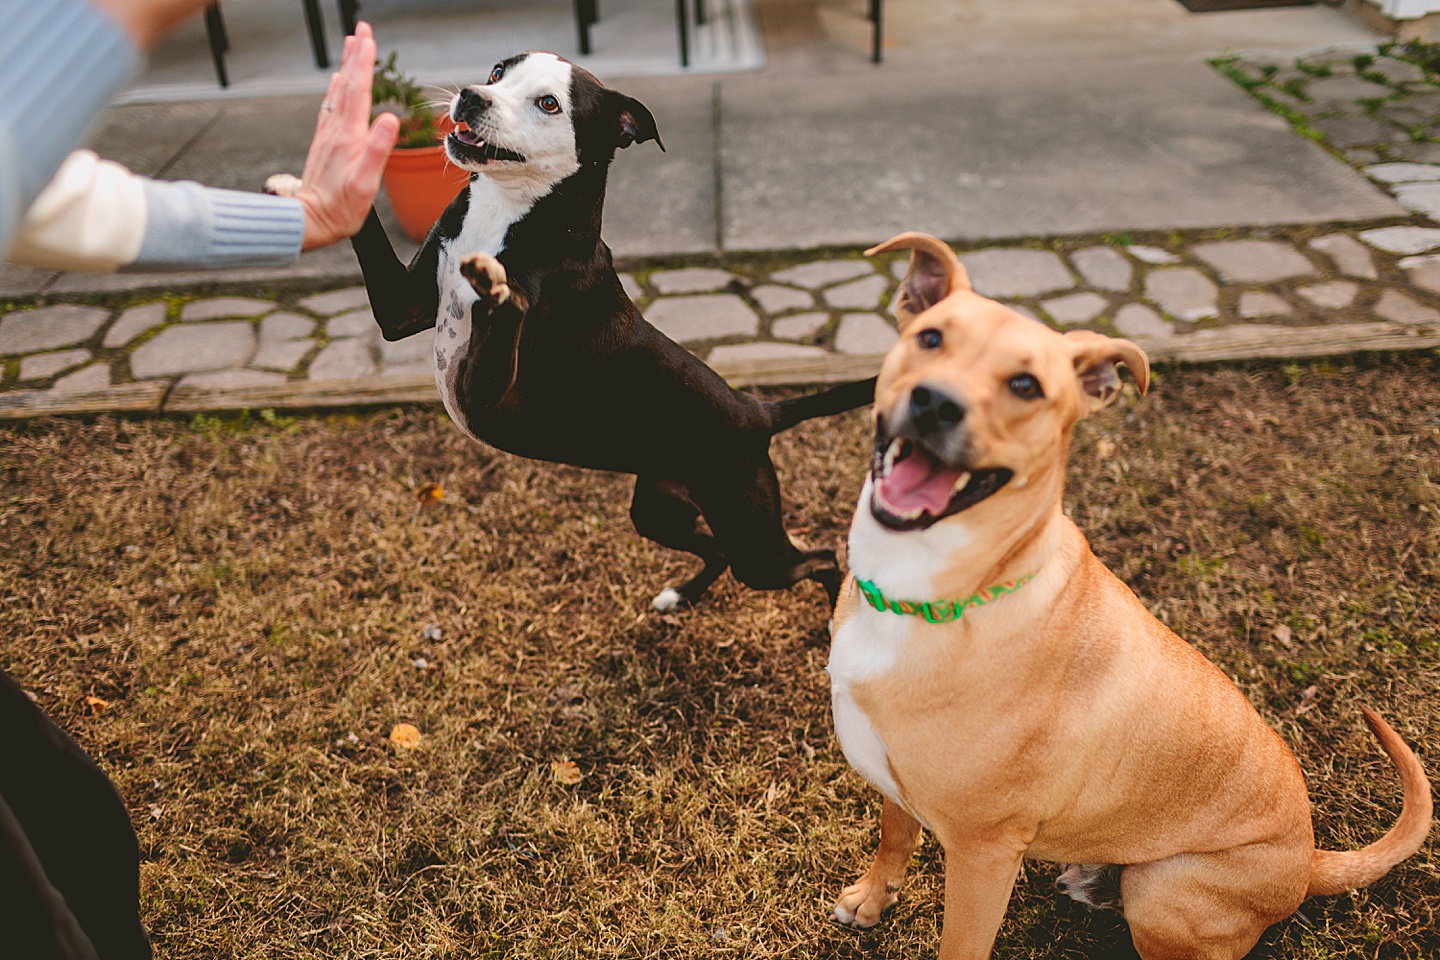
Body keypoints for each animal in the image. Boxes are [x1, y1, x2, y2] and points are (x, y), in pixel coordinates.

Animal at [308, 54, 869, 607]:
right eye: (497, 73)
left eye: (549, 104)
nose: (470, 97)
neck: (506, 213)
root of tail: (756, 411)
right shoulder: (402, 310)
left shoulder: (486, 398)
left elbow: (505, 306)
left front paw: (499, 288)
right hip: (659, 511)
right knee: (720, 553)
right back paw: (681, 596)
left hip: (754, 541)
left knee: (820, 559)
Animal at [829, 233, 1434, 960]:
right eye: (930, 337)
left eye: (1026, 385)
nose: (934, 402)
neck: (932, 590)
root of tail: (1308, 862)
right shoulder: (896, 781)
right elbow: (894, 834)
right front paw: (872, 899)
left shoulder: (983, 854)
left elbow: (961, 943)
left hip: (1163, 889)